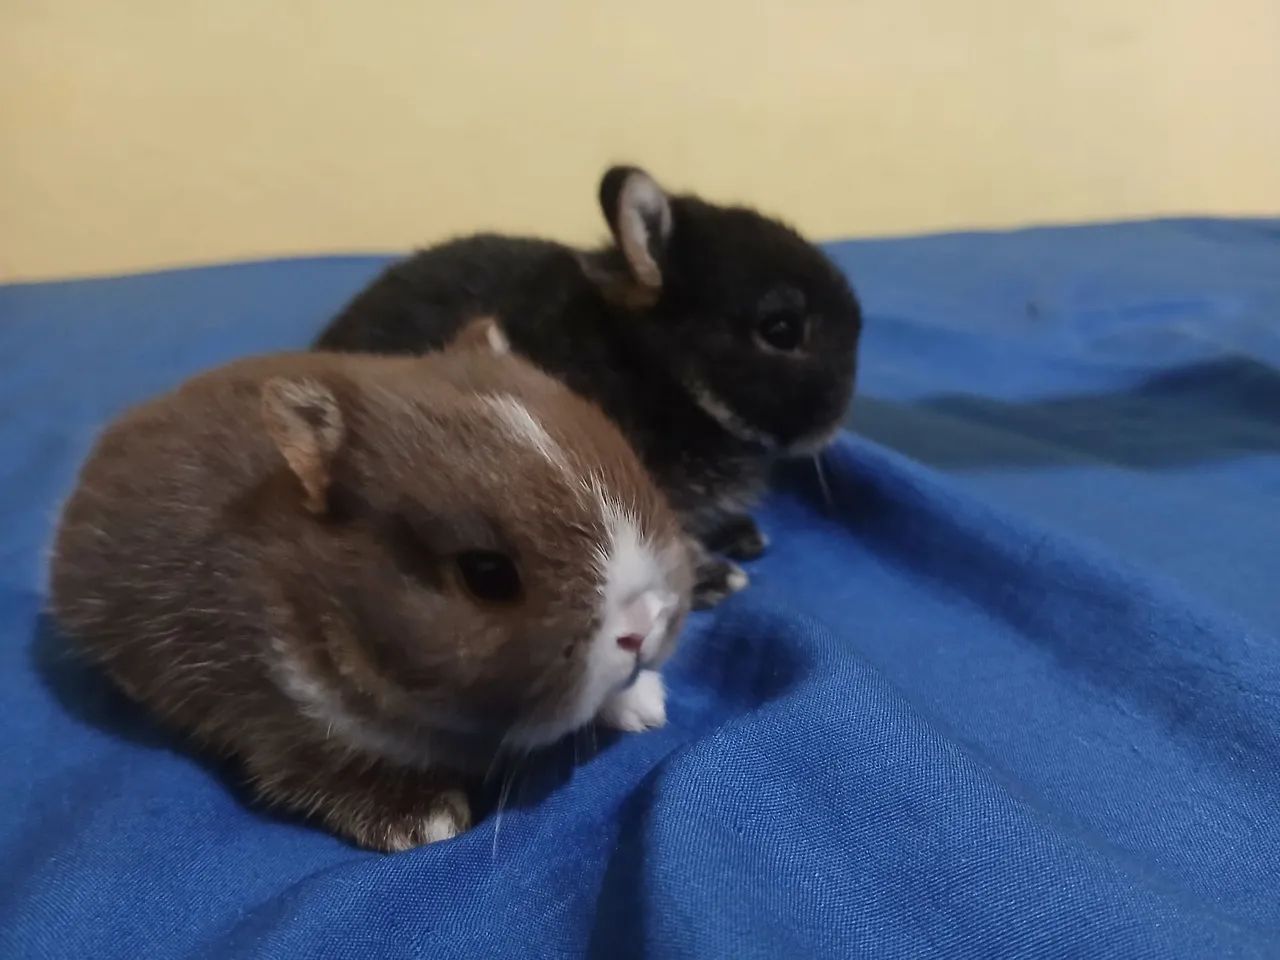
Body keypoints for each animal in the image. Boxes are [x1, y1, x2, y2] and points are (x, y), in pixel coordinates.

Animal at [49, 317, 693, 853]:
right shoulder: (282, 719)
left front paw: (643, 705)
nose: (642, 623)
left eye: (633, 466)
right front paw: (426, 821)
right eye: (486, 575)